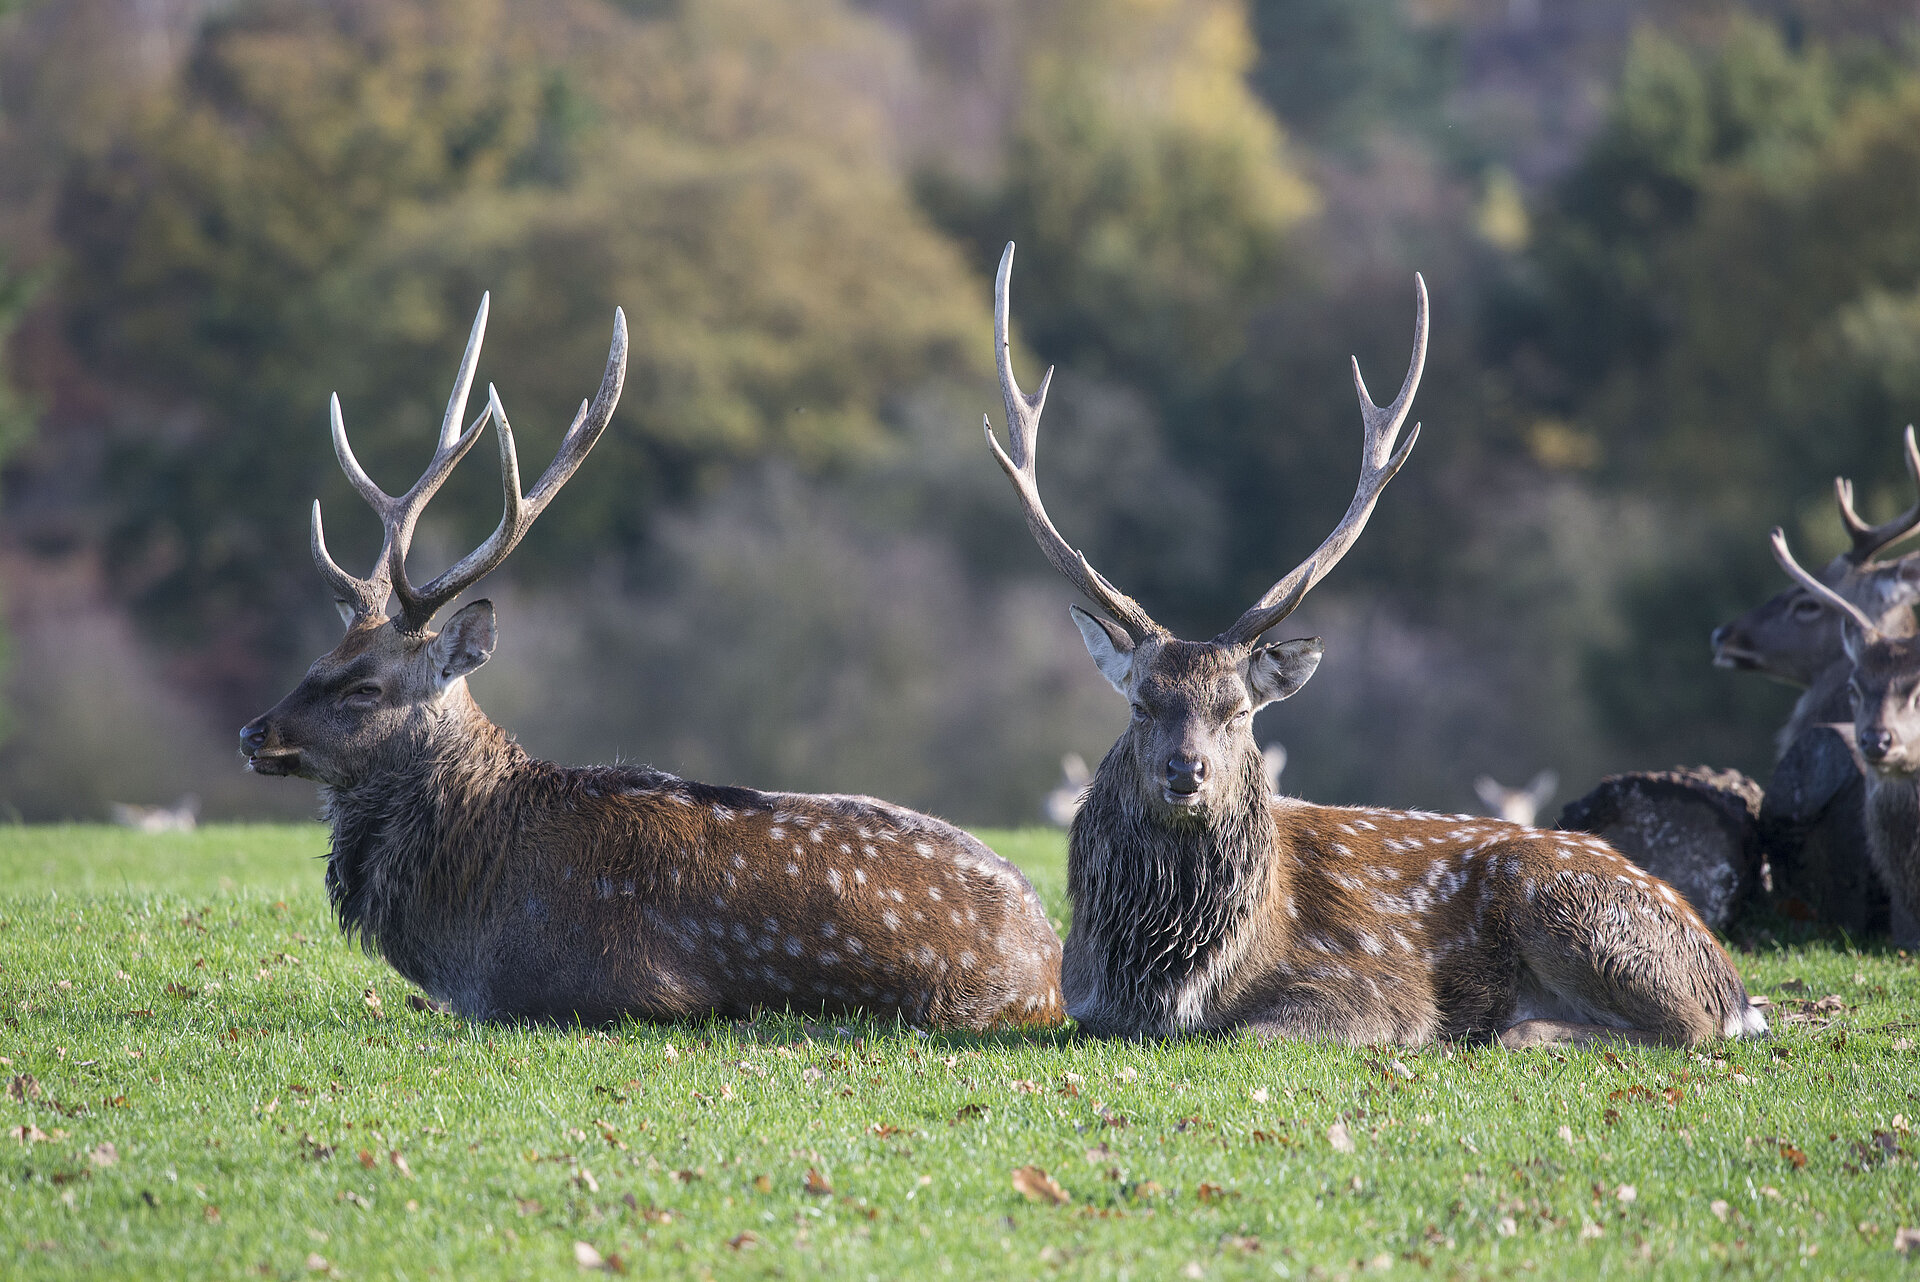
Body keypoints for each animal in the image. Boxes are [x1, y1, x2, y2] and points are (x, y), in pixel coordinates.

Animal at [238, 295, 1064, 1029]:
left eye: (365, 687)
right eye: (318, 657)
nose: (253, 732)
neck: (468, 916)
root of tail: (1054, 965)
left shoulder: (614, 991)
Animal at [983, 242, 1765, 1047]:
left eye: (1238, 711)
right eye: (1141, 704)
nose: (1185, 772)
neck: (1170, 982)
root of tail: (1732, 983)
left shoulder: (1373, 989)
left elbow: (1254, 1028)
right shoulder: (1081, 1000)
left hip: (1577, 909)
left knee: (1683, 1027)